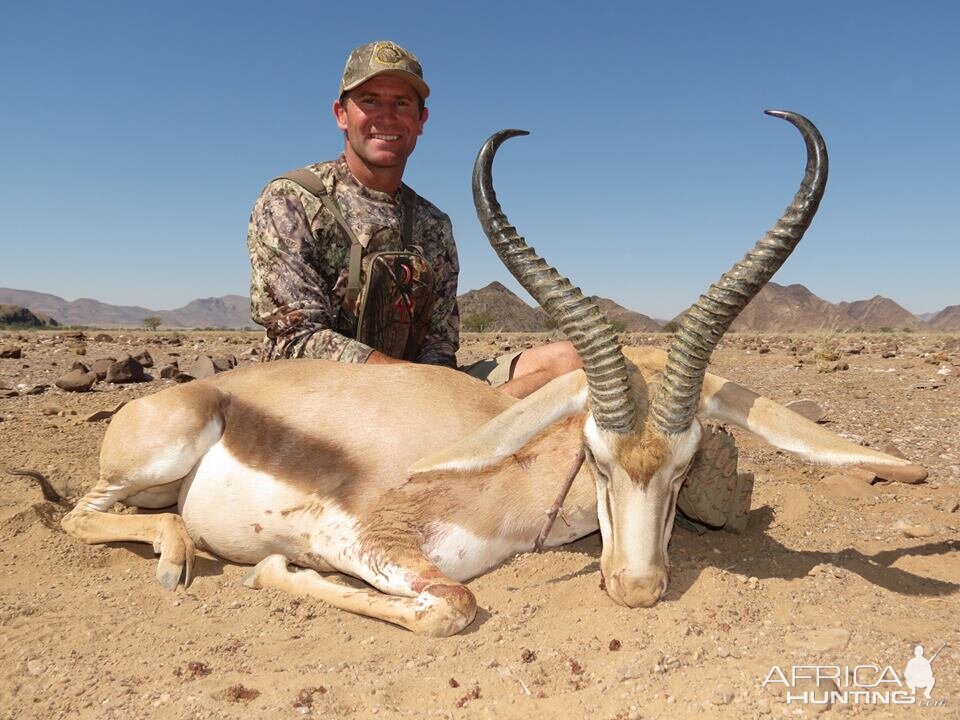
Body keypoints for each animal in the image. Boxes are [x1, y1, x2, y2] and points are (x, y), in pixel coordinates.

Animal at [58, 112, 924, 636]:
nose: (637, 588)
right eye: (596, 458)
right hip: (160, 453)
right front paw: (270, 566)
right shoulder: (362, 534)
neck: (507, 475)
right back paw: (175, 560)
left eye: (687, 467)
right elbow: (450, 602)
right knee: (80, 515)